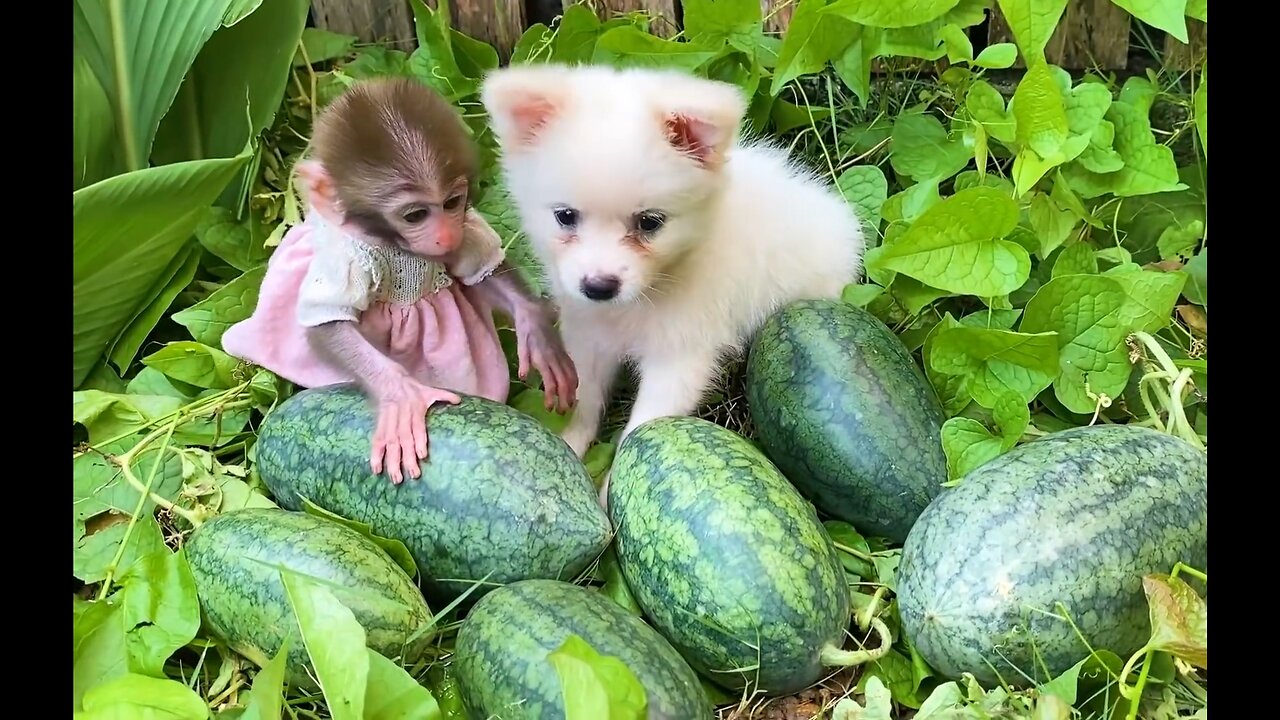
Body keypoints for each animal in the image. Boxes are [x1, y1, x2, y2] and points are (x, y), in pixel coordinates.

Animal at [224, 75, 576, 481]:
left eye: (451, 203)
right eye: (415, 215)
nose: (445, 234)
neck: (398, 248)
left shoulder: (463, 230)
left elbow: (478, 270)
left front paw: (536, 329)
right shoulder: (349, 256)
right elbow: (328, 320)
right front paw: (400, 392)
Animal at [481, 65, 870, 458]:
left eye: (650, 222)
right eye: (565, 216)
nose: (599, 287)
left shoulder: (680, 353)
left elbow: (644, 426)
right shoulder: (589, 333)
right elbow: (585, 399)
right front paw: (570, 445)